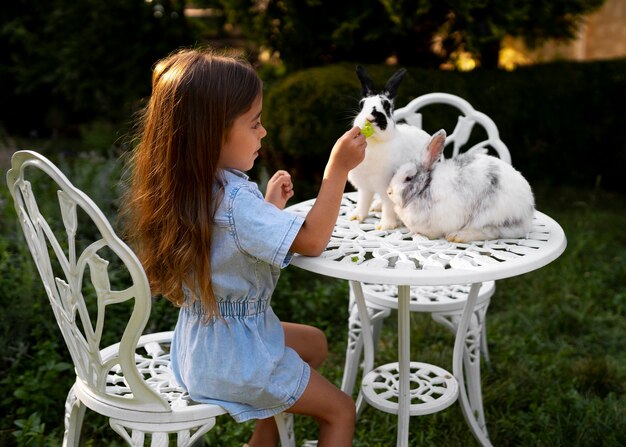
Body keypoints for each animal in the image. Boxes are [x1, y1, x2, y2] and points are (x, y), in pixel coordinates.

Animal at [346, 65, 428, 231]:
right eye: (362, 104)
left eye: (387, 106)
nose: (371, 118)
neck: (374, 142)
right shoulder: (365, 187)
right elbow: (363, 201)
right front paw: (356, 217)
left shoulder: (388, 187)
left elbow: (389, 206)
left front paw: (386, 225)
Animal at [388, 130, 532, 242]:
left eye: (408, 178)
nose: (389, 192)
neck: (425, 186)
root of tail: (527, 209)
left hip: (489, 215)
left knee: (491, 232)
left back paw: (457, 236)